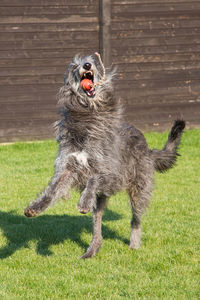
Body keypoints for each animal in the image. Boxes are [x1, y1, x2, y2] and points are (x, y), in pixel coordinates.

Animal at [24, 52, 185, 258]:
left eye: (91, 61)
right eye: (74, 66)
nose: (86, 65)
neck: (89, 117)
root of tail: (148, 150)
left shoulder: (114, 175)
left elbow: (94, 177)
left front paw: (83, 201)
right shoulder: (68, 166)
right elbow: (53, 190)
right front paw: (35, 208)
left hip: (139, 188)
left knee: (136, 219)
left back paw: (134, 244)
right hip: (101, 201)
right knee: (97, 226)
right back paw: (92, 250)